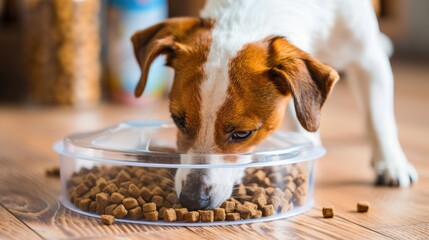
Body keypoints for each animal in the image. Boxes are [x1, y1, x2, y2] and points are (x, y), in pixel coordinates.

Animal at [132, 0, 416, 210]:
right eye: (178, 120)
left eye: (242, 134)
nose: (192, 200)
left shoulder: (369, 59)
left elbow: (379, 119)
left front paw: (392, 163)